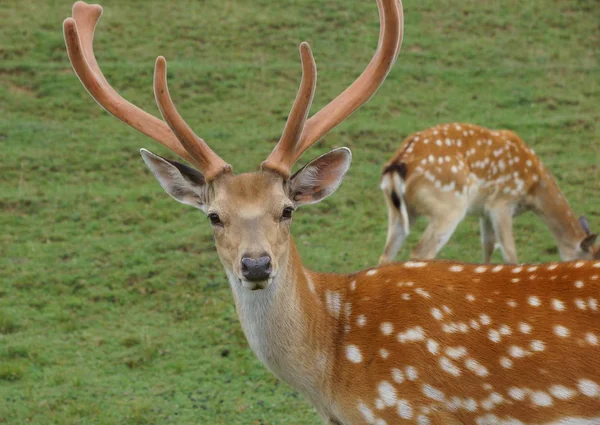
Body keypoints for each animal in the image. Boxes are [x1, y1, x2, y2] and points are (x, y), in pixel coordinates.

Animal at [380, 121, 600, 264]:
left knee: (386, 256)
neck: (534, 187)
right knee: (420, 254)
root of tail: (398, 164)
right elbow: (510, 255)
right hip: (450, 205)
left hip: (398, 212)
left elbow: (488, 246)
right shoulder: (501, 202)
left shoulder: (484, 211)